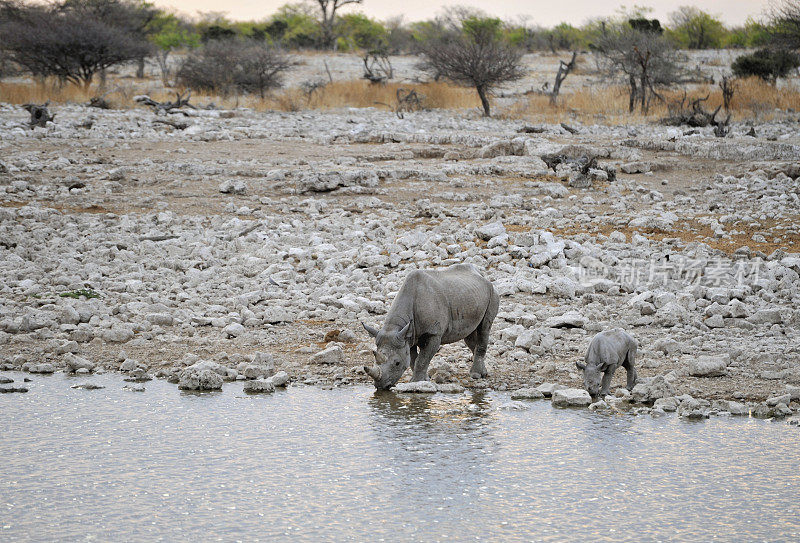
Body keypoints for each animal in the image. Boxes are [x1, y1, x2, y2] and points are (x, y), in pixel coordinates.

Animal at [364, 264, 500, 388]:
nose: (380, 386)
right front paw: (424, 380)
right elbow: (414, 359)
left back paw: (476, 375)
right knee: (470, 335)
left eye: (397, 363)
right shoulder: (409, 336)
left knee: (484, 328)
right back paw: (483, 373)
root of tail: (483, 276)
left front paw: (416, 382)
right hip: (470, 295)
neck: (395, 327)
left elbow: (422, 359)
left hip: (492, 292)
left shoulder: (433, 333)